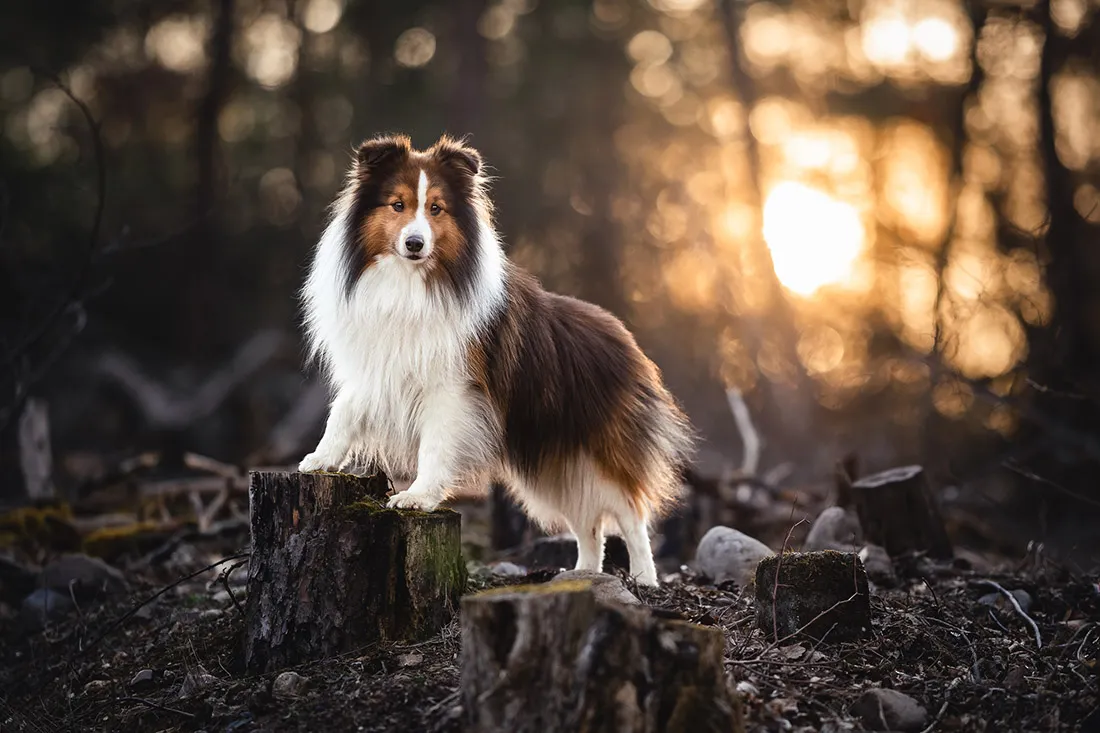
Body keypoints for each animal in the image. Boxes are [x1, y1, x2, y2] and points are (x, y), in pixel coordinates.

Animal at [297, 134, 690, 585]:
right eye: (397, 205)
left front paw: (418, 496)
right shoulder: (379, 367)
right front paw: (321, 459)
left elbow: (435, 445)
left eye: (436, 208)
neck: (413, 284)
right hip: (555, 459)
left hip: (599, 448)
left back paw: (643, 578)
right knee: (588, 523)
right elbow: (343, 411)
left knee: (630, 513)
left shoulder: (452, 391)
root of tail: (626, 339)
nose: (415, 244)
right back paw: (582, 575)